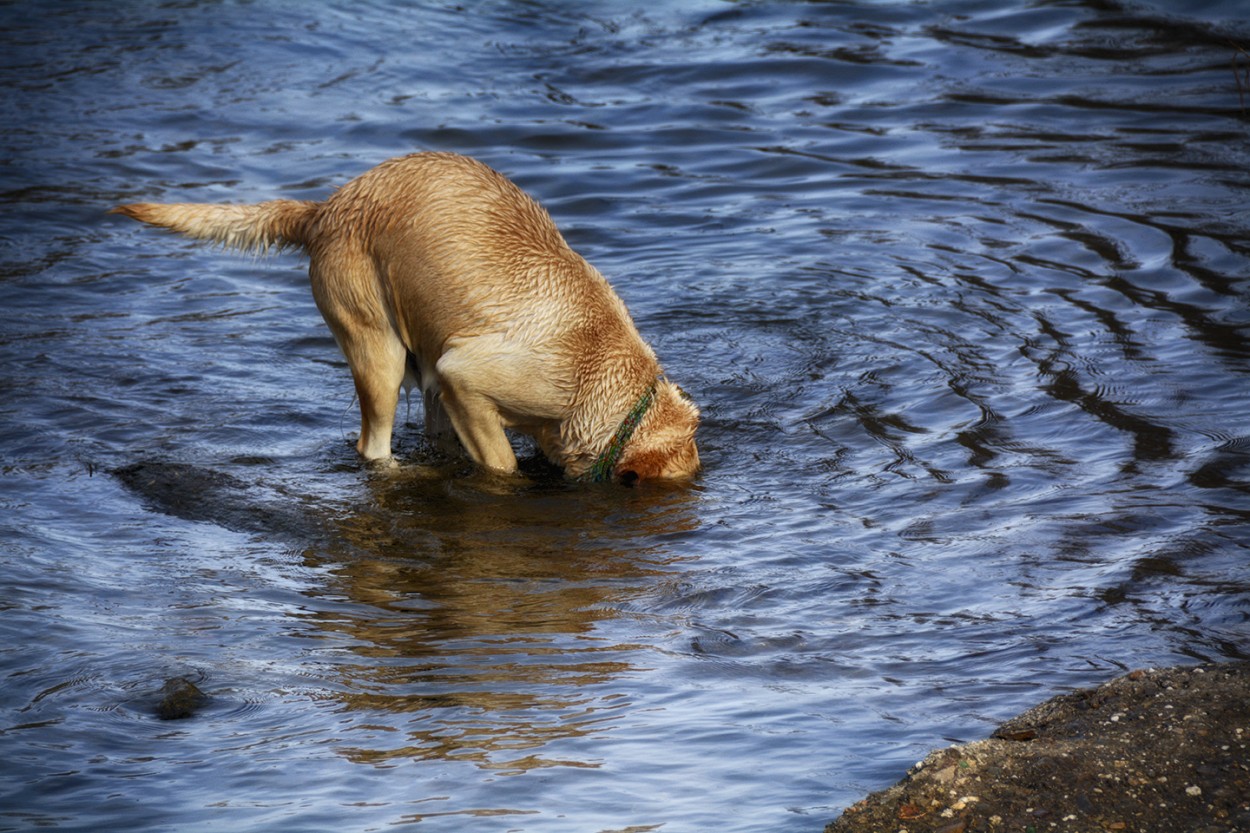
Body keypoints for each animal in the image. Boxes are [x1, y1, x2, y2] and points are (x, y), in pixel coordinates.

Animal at [111, 152, 700, 482]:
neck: (599, 368)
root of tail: (326, 209)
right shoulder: (467, 377)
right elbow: (503, 464)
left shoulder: (452, 383)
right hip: (380, 352)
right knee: (372, 446)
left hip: (425, 363)